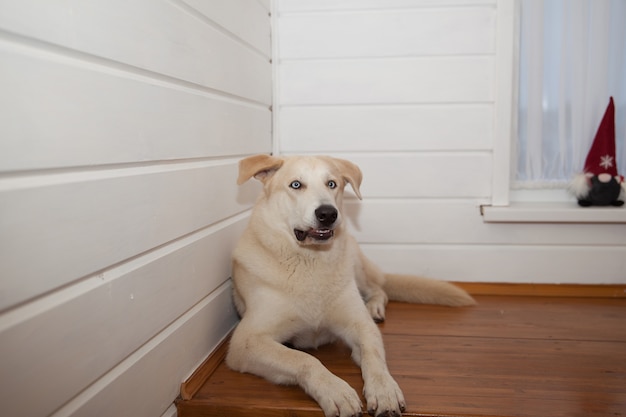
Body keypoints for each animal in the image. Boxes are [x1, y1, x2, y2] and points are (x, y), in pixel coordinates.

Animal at [227, 155, 476, 416]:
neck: (311, 262)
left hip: (356, 264)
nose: (328, 213)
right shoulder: (246, 342)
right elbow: (303, 359)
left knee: (379, 289)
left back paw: (374, 307)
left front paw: (384, 390)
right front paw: (336, 391)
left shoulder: (361, 326)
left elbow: (373, 355)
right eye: (296, 185)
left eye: (332, 184)